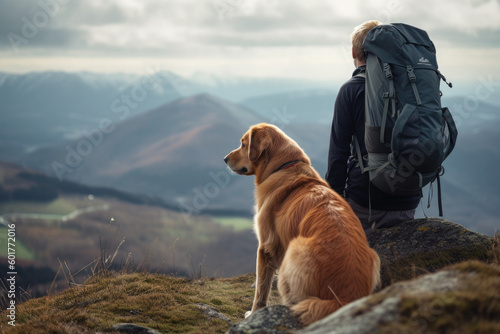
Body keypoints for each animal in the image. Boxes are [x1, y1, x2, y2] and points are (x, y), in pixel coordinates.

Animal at [225, 123, 380, 326]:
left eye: (243, 144)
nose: (225, 159)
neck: (282, 167)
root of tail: (345, 300)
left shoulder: (264, 247)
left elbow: (260, 290)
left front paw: (252, 314)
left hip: (294, 250)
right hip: (375, 257)